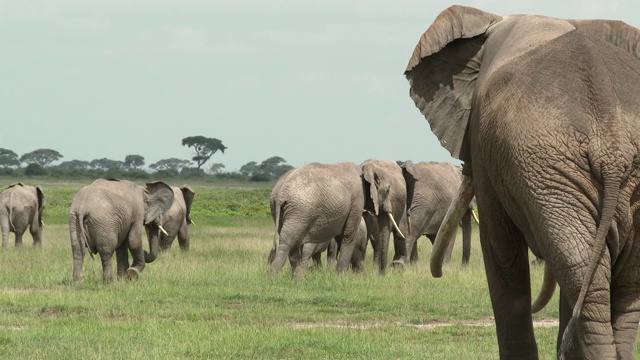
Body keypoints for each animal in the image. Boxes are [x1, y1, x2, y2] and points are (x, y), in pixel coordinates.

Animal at [404, 4, 640, 358]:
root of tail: (612, 149)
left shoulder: (487, 149)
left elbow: (501, 251)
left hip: (547, 171)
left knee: (583, 272)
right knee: (610, 280)